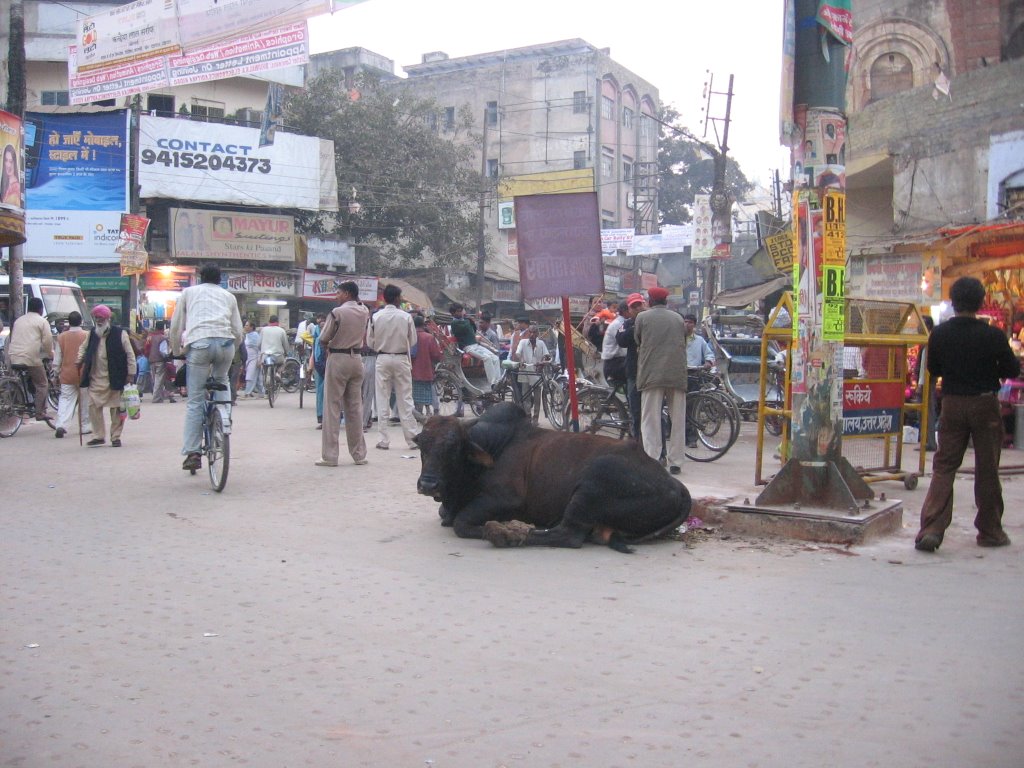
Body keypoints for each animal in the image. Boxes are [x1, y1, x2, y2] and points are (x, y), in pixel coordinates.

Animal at [411, 403, 692, 552]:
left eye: (454, 446)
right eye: (421, 443)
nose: (428, 484)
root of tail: (678, 487)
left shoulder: (503, 499)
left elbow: (461, 523)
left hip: (591, 488)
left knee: (567, 535)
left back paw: (508, 533)